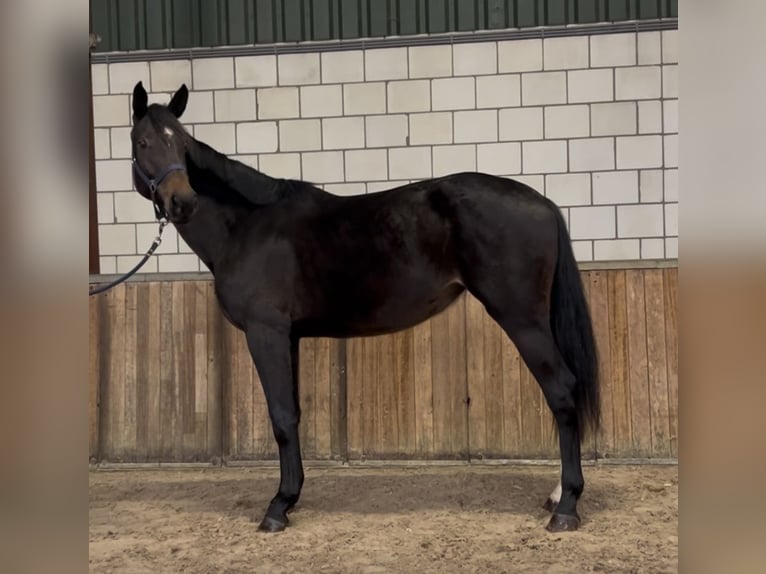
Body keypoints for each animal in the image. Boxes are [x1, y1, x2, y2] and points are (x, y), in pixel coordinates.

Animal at [129, 81, 604, 536]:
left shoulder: (265, 333)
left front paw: (278, 508)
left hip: (522, 319)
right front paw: (291, 497)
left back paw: (566, 507)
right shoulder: (288, 336)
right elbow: (293, 414)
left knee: (562, 390)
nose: (182, 202)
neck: (247, 225)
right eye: (143, 141)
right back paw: (557, 494)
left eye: (182, 143)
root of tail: (542, 203)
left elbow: (280, 416)